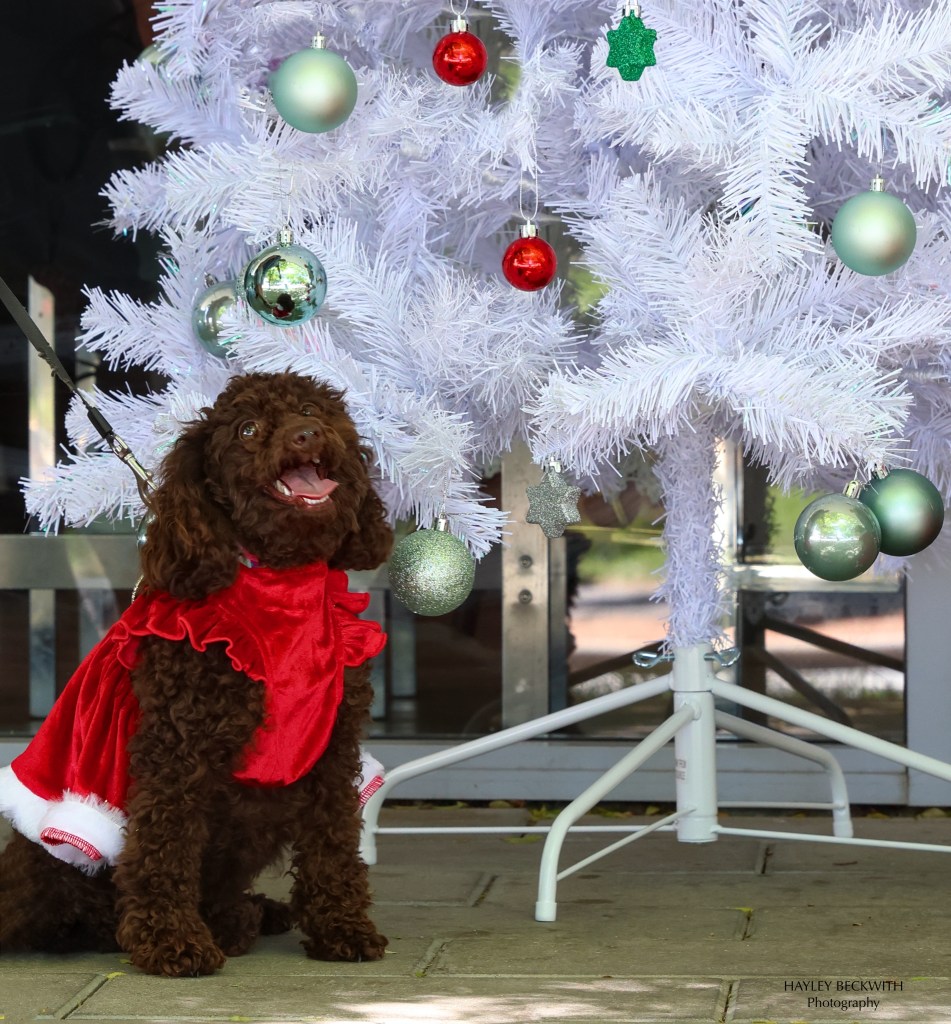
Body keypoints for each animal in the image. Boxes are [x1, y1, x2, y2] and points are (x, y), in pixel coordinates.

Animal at [0, 371, 393, 976]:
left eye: (312, 411)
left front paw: (342, 927)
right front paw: (170, 941)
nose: (306, 435)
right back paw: (223, 925)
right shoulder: (178, 753)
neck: (281, 591)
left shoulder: (333, 751)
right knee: (80, 915)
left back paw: (252, 912)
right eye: (248, 429)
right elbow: (166, 845)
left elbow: (333, 844)